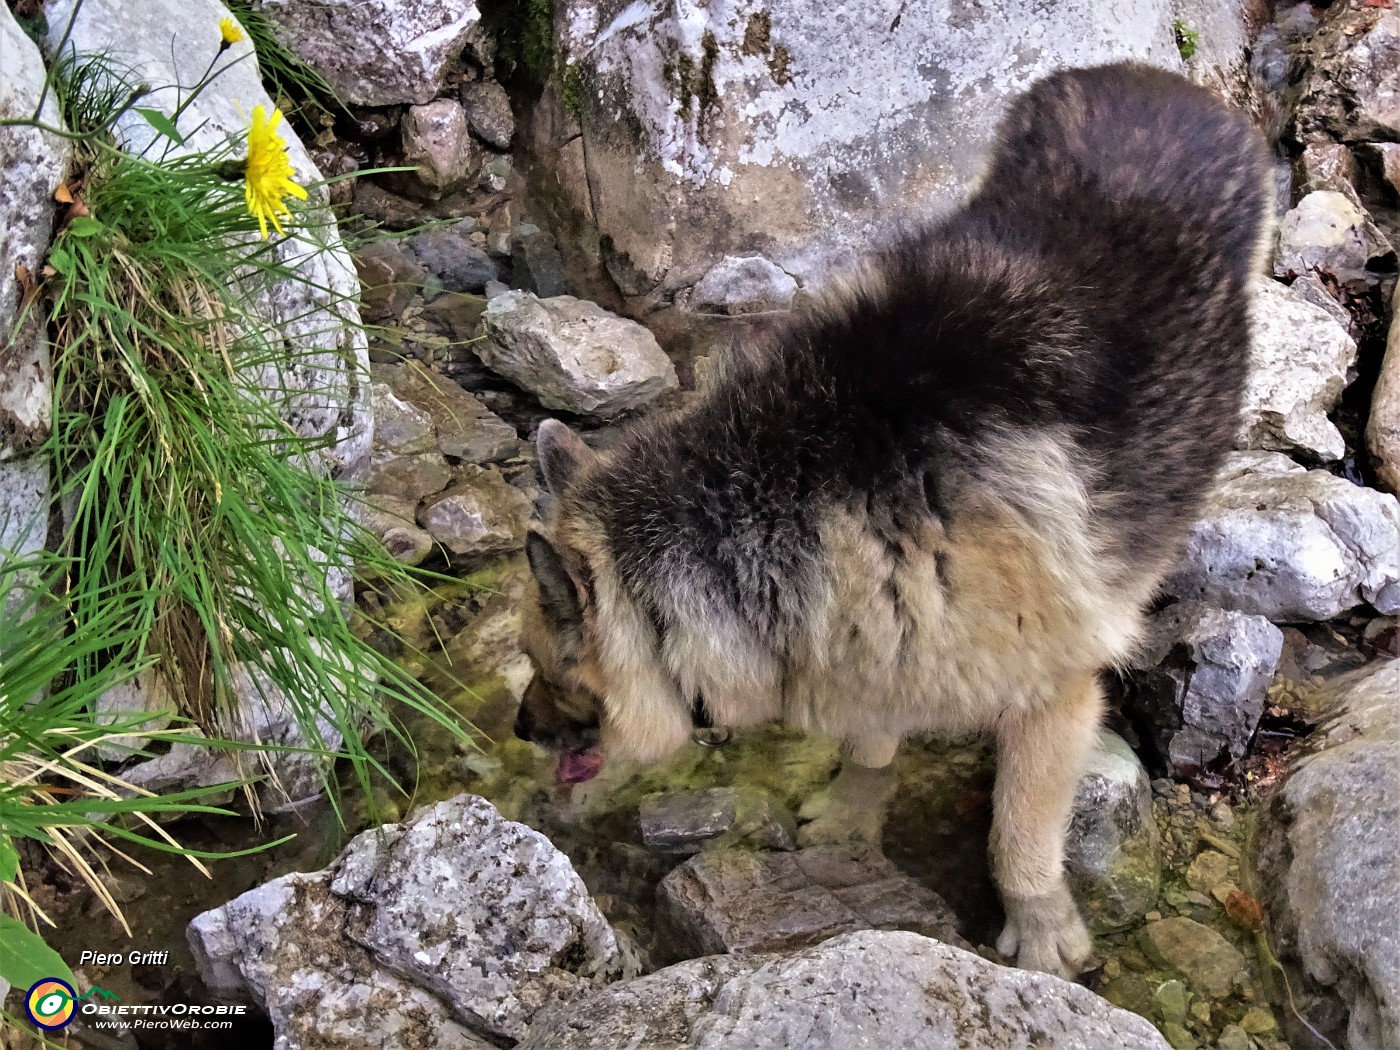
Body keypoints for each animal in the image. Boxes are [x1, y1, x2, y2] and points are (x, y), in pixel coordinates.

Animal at [512, 63, 1271, 980]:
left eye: (548, 668)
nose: (518, 728)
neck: (772, 499)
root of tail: (1159, 82)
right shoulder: (866, 632)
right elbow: (871, 737)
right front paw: (854, 803)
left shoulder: (1053, 696)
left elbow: (1020, 832)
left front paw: (1039, 924)